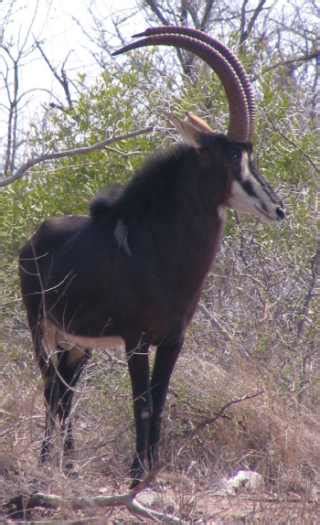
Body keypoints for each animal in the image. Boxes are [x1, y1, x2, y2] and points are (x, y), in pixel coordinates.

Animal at [19, 26, 284, 486]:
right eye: (234, 155)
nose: (277, 208)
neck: (162, 254)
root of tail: (33, 239)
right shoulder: (136, 340)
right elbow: (141, 404)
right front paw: (134, 477)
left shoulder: (173, 340)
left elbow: (159, 403)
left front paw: (148, 475)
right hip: (42, 329)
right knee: (52, 388)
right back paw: (46, 465)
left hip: (78, 343)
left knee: (66, 390)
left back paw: (69, 467)